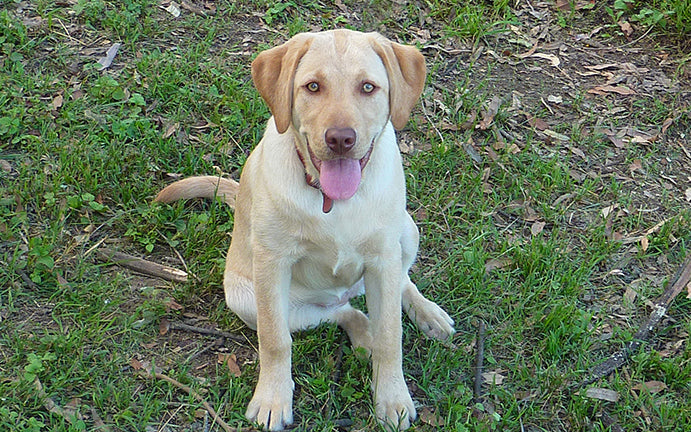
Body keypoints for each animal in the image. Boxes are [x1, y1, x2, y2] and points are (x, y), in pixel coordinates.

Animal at [159, 28, 456, 430]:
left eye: (368, 87)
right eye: (313, 86)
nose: (340, 139)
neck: (333, 201)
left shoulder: (383, 258)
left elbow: (391, 335)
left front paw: (392, 396)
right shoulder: (272, 264)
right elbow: (275, 339)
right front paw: (272, 399)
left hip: (406, 232)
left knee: (395, 287)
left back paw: (427, 314)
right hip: (245, 298)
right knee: (340, 313)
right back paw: (363, 336)